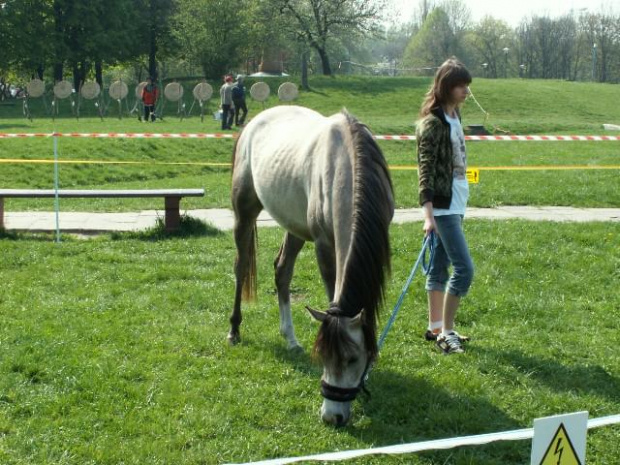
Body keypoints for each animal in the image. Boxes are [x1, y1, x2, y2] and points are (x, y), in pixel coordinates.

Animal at [228, 104, 392, 424]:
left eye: (352, 358)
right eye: (323, 356)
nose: (332, 417)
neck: (347, 167)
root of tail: (253, 121)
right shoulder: (324, 244)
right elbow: (332, 295)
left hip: (294, 226)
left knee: (282, 271)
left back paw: (290, 339)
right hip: (245, 211)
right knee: (241, 267)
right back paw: (234, 330)